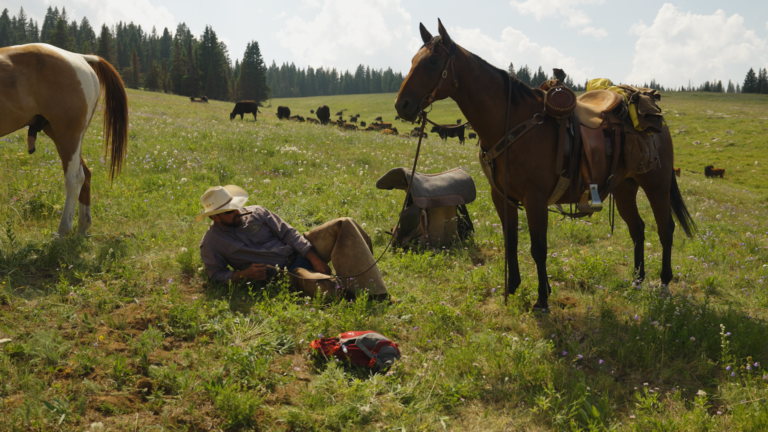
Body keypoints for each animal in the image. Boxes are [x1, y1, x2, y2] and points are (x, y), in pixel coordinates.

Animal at [0, 43, 128, 237]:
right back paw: (83, 227)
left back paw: (63, 230)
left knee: (75, 179)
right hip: (60, 135)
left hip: (67, 135)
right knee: (86, 174)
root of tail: (79, 57)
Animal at [394, 20, 695, 312]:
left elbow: (538, 247)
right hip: (624, 188)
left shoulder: (535, 198)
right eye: (412, 60)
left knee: (665, 228)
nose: (402, 105)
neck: (513, 122)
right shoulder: (501, 197)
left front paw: (542, 299)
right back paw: (637, 280)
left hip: (656, 185)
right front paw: (511, 289)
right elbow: (511, 241)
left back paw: (664, 283)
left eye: (433, 61)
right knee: (638, 229)